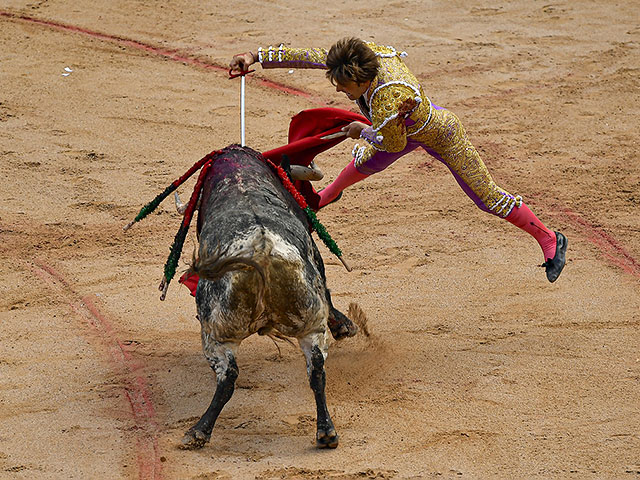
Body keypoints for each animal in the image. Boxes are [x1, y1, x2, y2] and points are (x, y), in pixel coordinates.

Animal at [181, 145, 356, 450]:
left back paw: (199, 431)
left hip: (216, 333)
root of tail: (261, 250)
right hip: (309, 324)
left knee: (228, 378)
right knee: (316, 369)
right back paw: (326, 432)